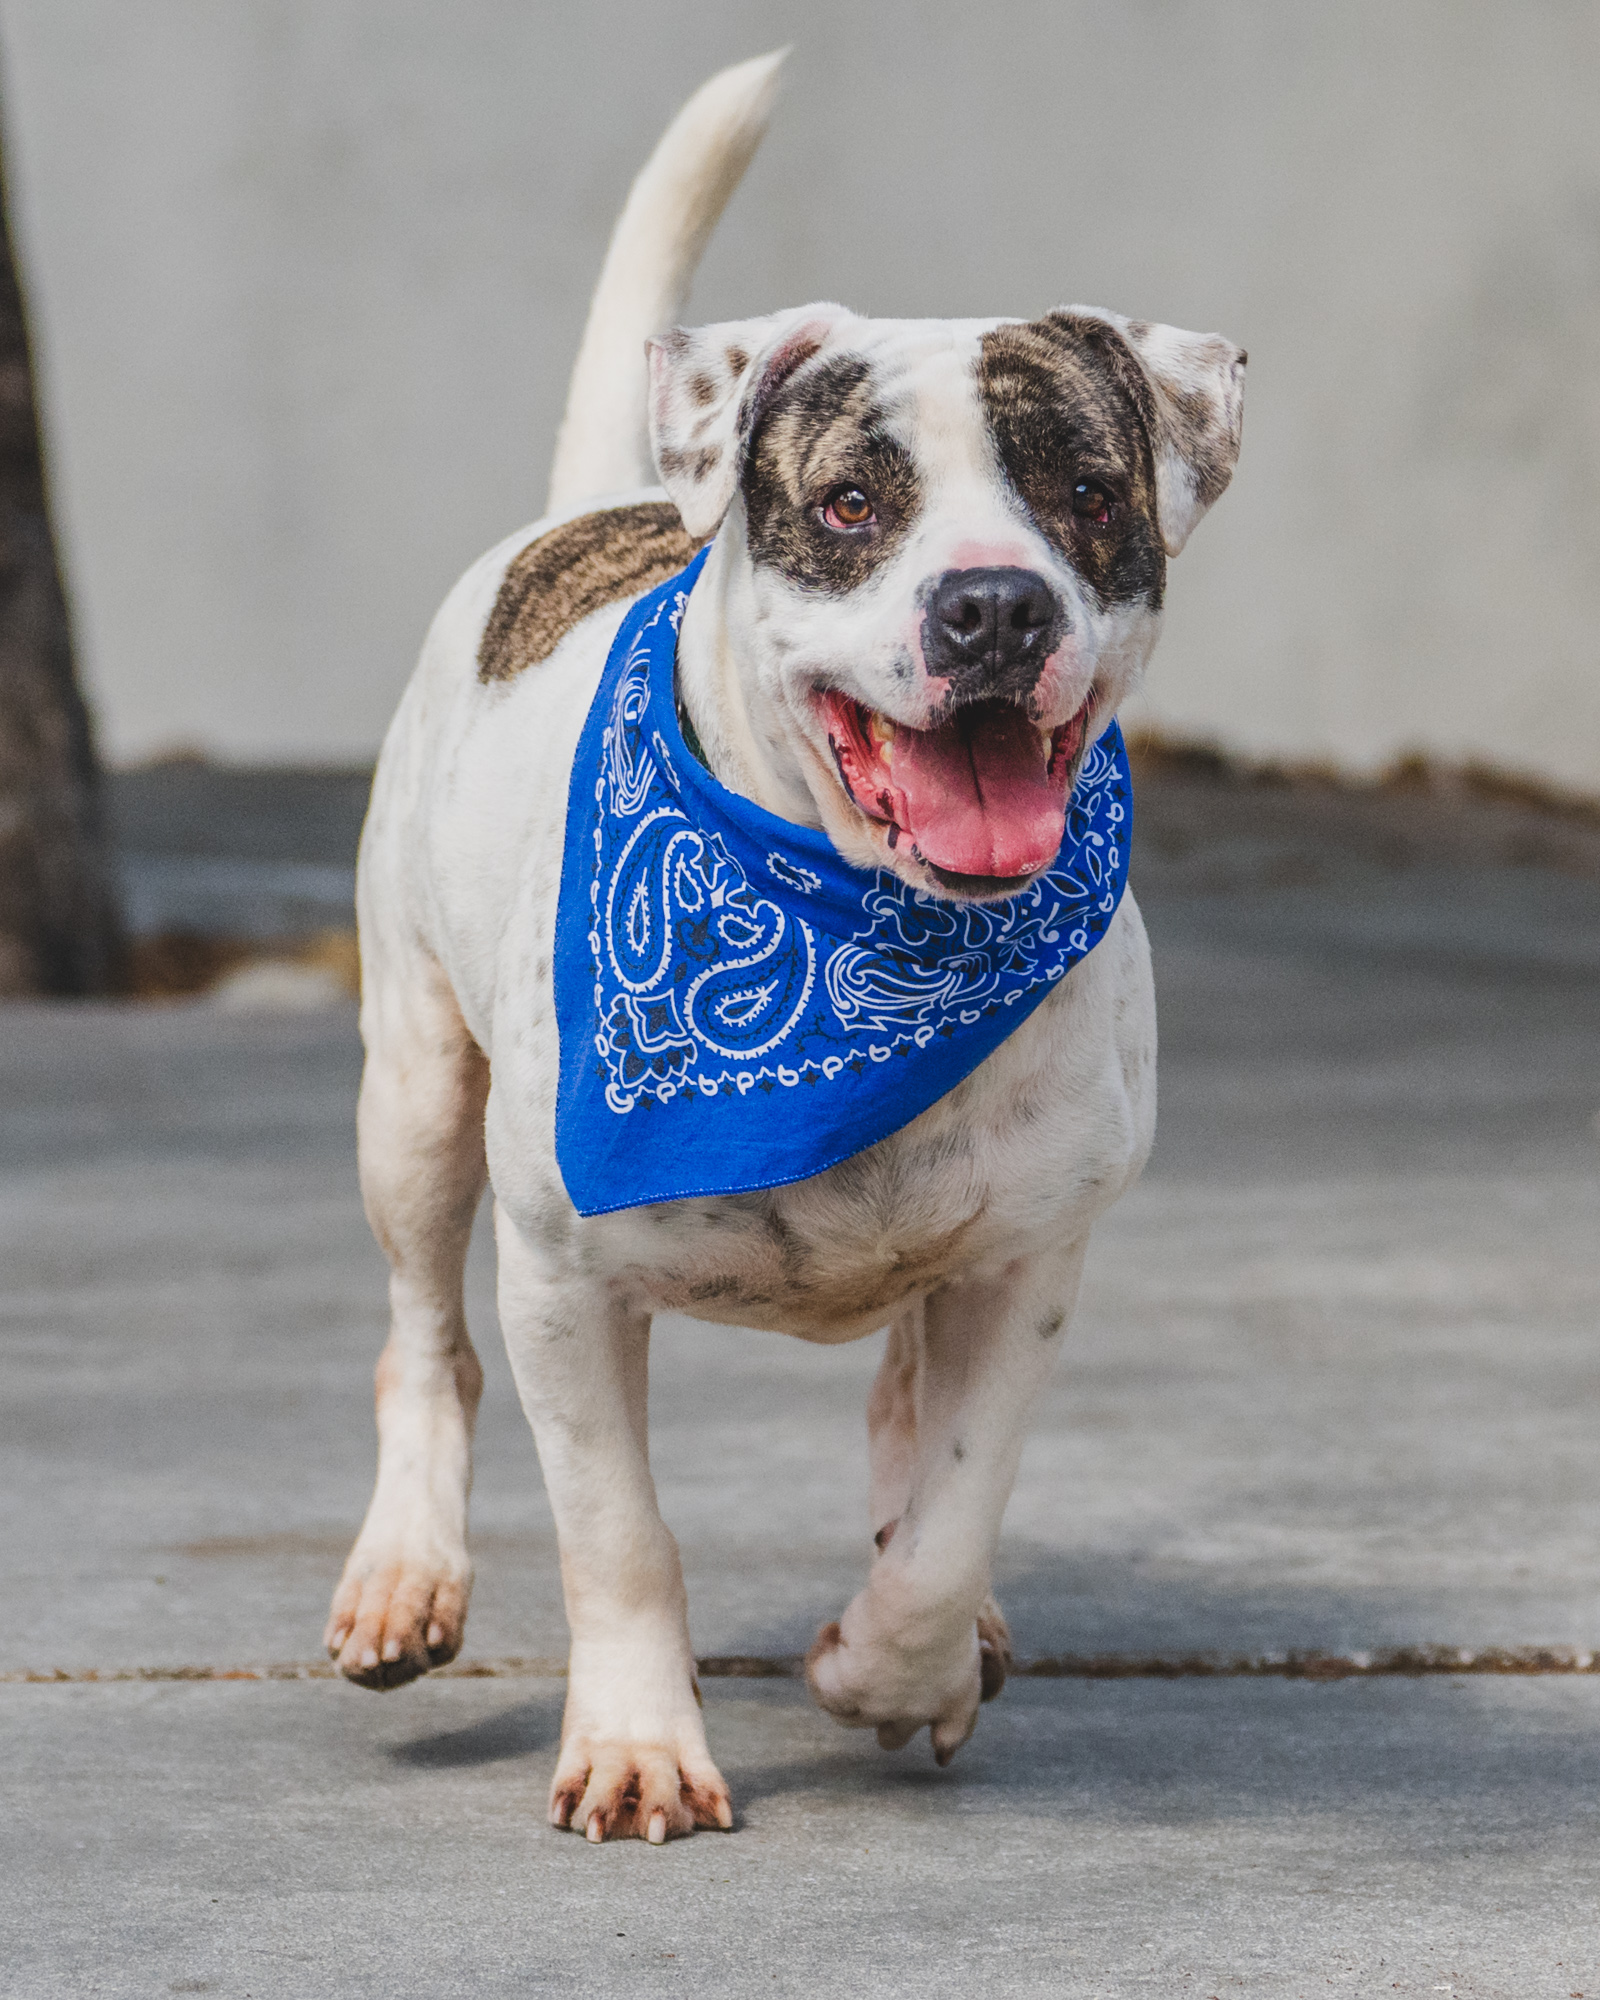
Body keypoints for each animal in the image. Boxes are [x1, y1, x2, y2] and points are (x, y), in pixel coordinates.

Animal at [324, 47, 1248, 1848]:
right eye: (852, 501)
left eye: (1086, 493)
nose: (995, 607)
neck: (863, 930)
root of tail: (604, 504)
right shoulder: (562, 1280)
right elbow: (617, 1530)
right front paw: (635, 1742)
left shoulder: (1031, 1263)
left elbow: (954, 1508)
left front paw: (891, 1663)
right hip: (412, 1093)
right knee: (420, 1343)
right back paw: (405, 1571)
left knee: (903, 1415)